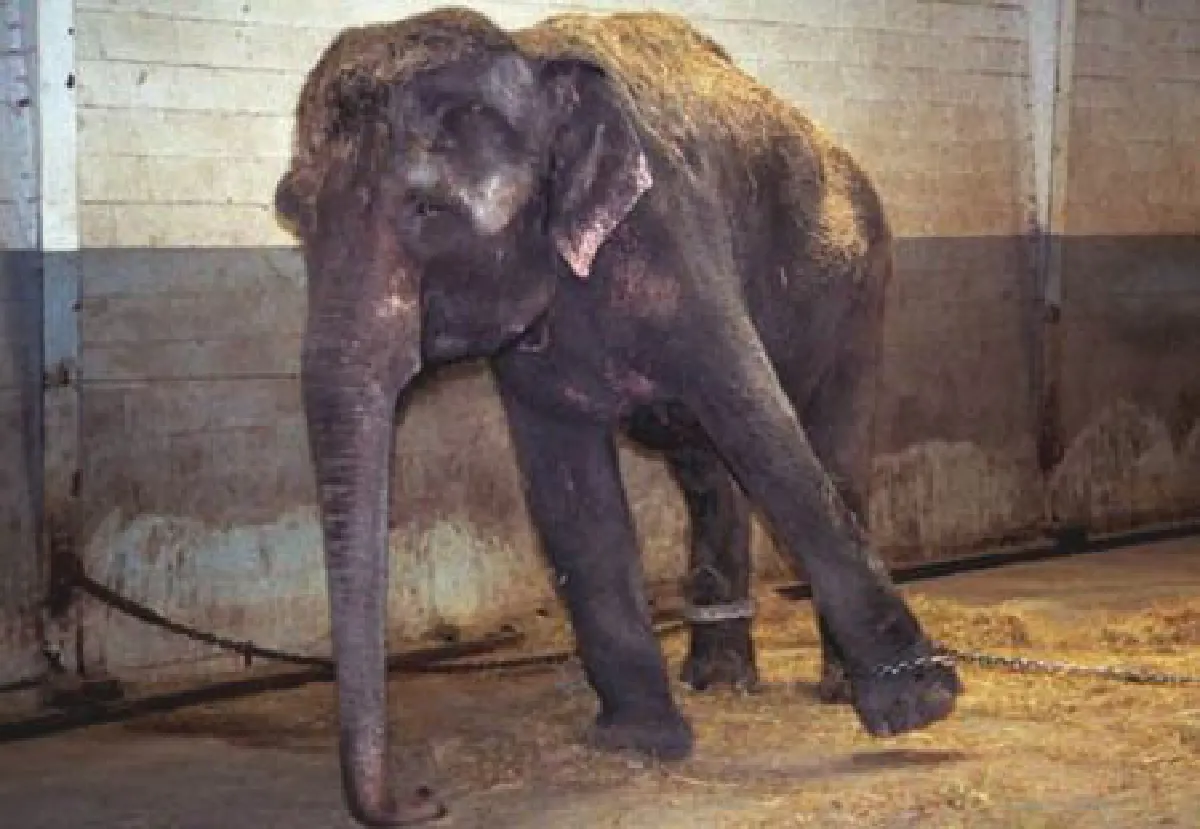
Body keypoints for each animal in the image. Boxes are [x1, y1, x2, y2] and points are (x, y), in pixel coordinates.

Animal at [273, 7, 963, 826]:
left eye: (429, 210)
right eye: (292, 215)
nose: (425, 799)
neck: (532, 55)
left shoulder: (674, 232)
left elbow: (759, 423)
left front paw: (922, 705)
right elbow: (567, 487)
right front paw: (639, 742)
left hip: (861, 290)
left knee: (830, 450)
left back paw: (830, 687)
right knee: (707, 473)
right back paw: (721, 681)